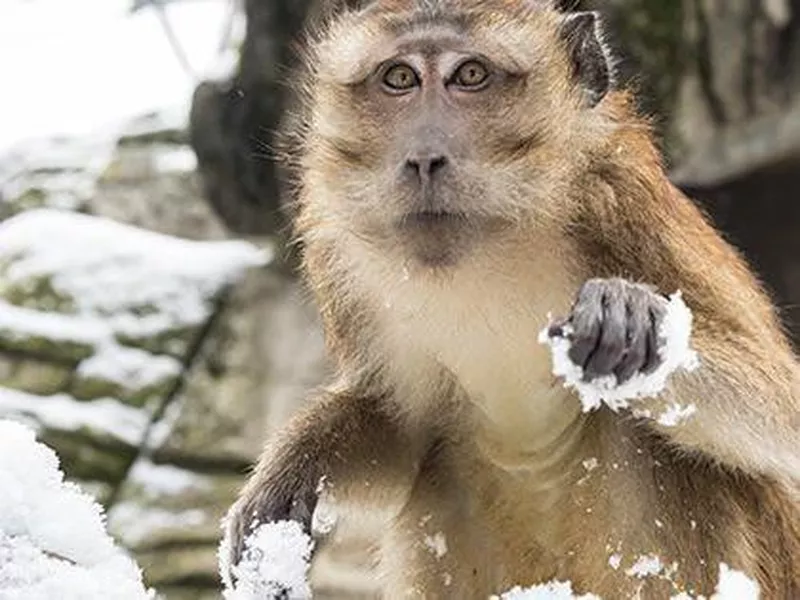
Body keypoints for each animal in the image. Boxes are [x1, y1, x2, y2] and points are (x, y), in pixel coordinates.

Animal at [220, 1, 800, 596]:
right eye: (399, 78)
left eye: (470, 75)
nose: (424, 157)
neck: (496, 236)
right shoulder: (342, 257)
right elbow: (402, 423)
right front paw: (290, 472)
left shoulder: (625, 205)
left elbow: (784, 411)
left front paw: (637, 324)